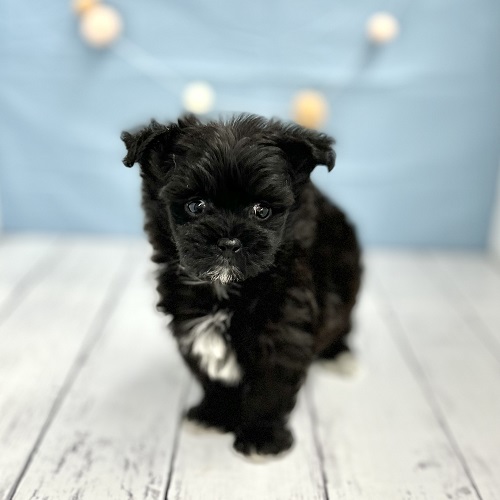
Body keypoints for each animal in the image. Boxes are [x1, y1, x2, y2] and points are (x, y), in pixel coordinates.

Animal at [121, 113, 362, 457]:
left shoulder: (283, 331)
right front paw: (214, 414)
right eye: (196, 206)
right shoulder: (190, 326)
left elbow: (270, 388)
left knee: (344, 319)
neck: (225, 289)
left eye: (262, 210)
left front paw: (262, 436)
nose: (229, 241)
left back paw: (340, 354)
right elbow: (212, 377)